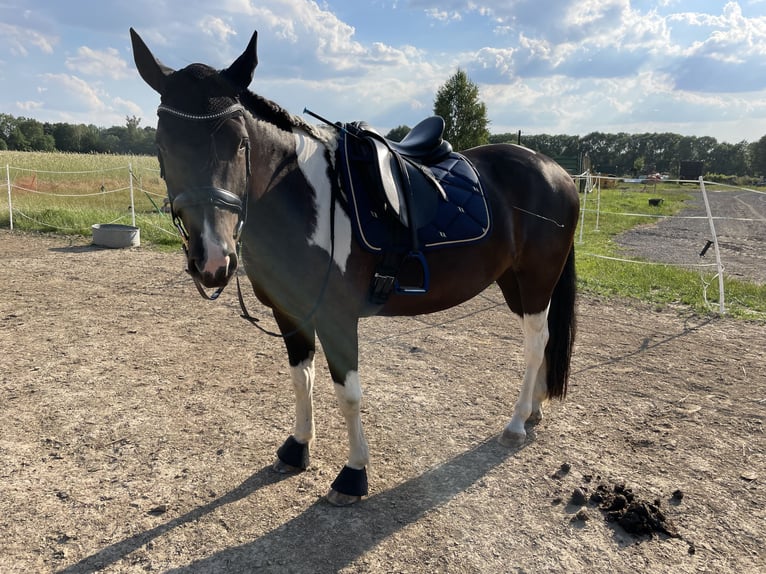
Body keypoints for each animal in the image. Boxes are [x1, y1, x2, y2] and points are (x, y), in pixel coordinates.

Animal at [130, 28, 579, 506]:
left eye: (239, 143)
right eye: (162, 145)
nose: (213, 259)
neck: (302, 198)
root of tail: (555, 171)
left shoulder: (337, 317)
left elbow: (347, 394)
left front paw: (353, 474)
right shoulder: (290, 313)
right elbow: (300, 379)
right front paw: (297, 448)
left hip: (536, 280)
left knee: (535, 343)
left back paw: (515, 423)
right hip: (513, 283)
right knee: (542, 341)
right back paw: (533, 410)